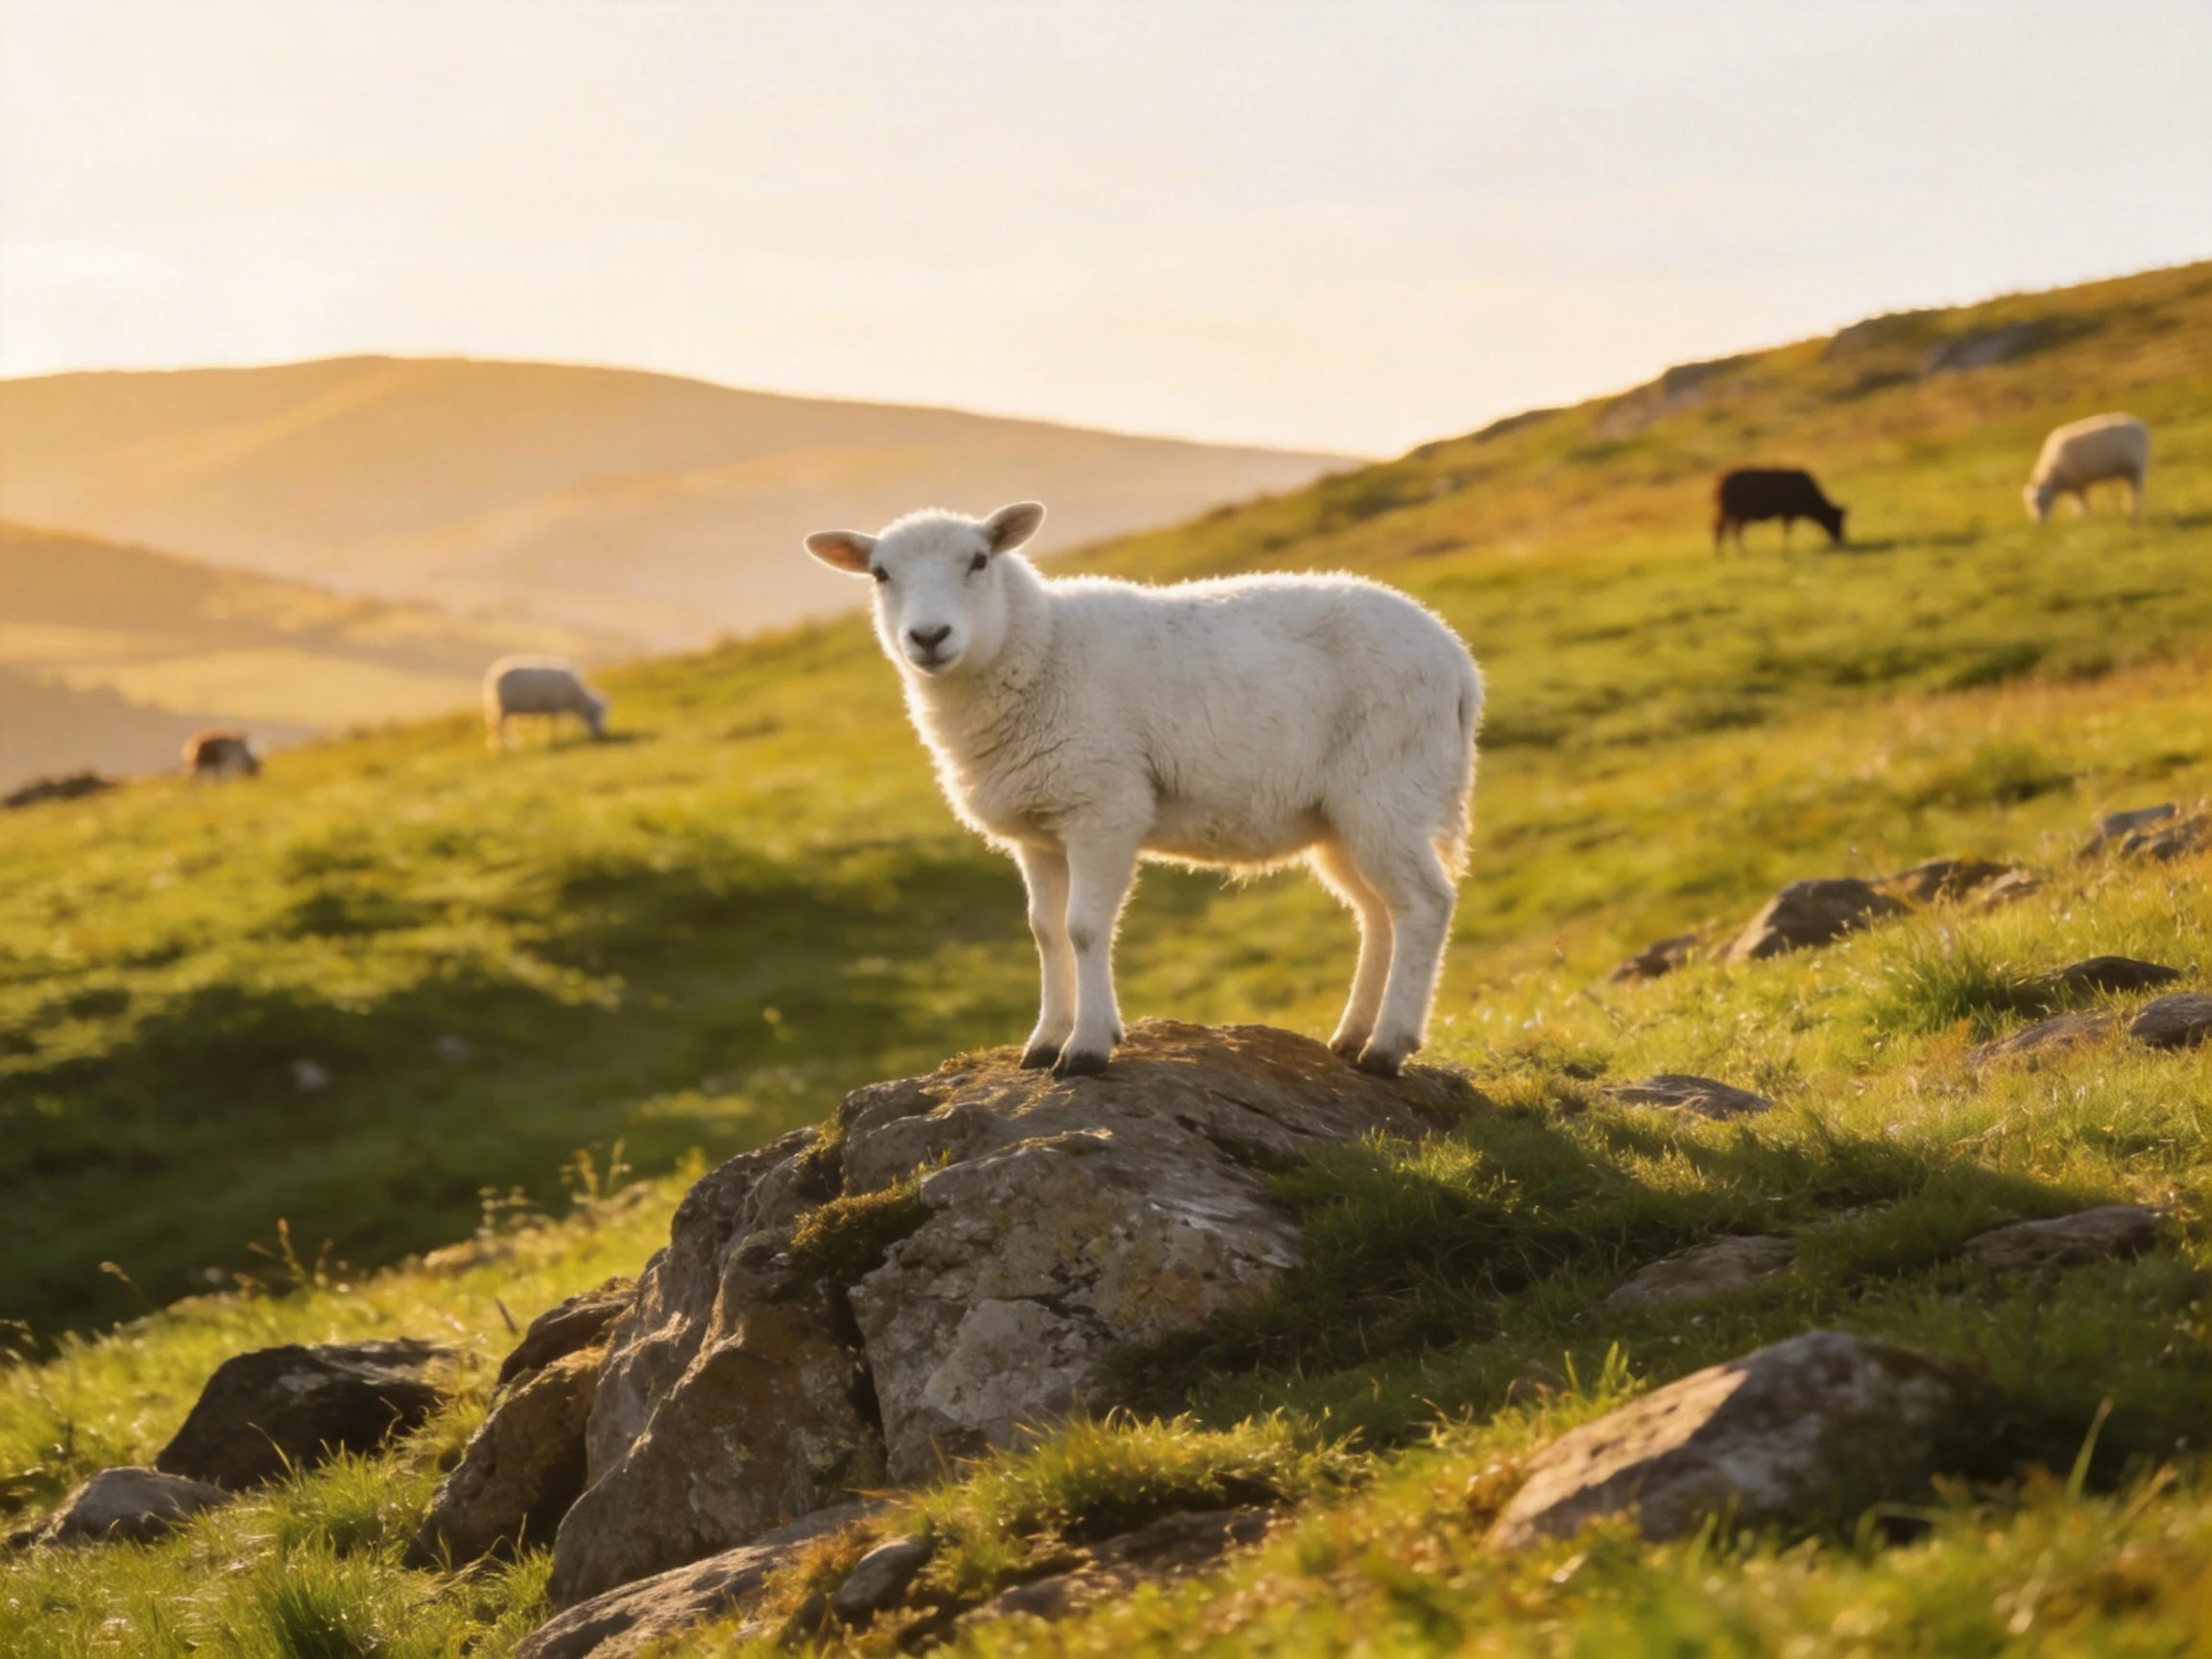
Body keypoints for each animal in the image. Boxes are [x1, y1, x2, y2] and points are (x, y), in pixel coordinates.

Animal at [483, 657, 610, 750]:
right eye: (598, 712)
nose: (601, 733)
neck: (575, 698)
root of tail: (492, 675)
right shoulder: (556, 706)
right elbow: (554, 725)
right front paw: (555, 741)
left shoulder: (547, 708)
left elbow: (546, 725)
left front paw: (545, 740)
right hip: (502, 707)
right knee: (498, 727)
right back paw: (501, 749)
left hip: (502, 709)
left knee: (502, 727)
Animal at [805, 502, 1483, 1079]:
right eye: (880, 573)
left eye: (978, 560)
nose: (928, 637)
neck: (1042, 649)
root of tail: (1458, 660)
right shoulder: (1039, 827)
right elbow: (1045, 931)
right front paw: (1044, 1041)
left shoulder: (1103, 806)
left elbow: (1083, 927)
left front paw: (1086, 1047)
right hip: (1341, 816)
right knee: (1379, 912)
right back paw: (1352, 1036)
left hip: (1387, 788)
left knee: (1425, 904)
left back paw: (1387, 1047)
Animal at [2024, 413, 2150, 523]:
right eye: (2029, 504)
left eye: (2042, 500)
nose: (2039, 523)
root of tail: (2139, 424)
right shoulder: (2075, 484)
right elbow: (2077, 504)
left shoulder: (2078, 483)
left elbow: (2081, 504)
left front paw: (2082, 519)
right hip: (2128, 471)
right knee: (2133, 491)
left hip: (2137, 467)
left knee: (2137, 493)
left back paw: (2134, 514)